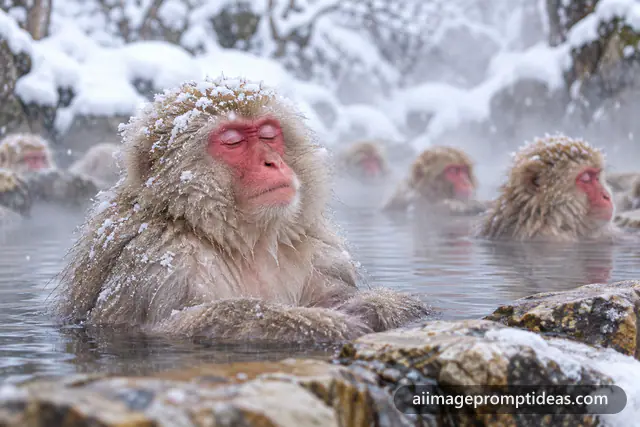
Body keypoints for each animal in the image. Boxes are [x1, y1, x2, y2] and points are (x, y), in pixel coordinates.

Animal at [55, 76, 431, 344]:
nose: (272, 162)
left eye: (268, 134)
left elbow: (339, 293)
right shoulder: (156, 260)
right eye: (233, 141)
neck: (245, 241)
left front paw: (372, 306)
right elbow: (171, 326)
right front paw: (327, 325)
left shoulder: (313, 247)